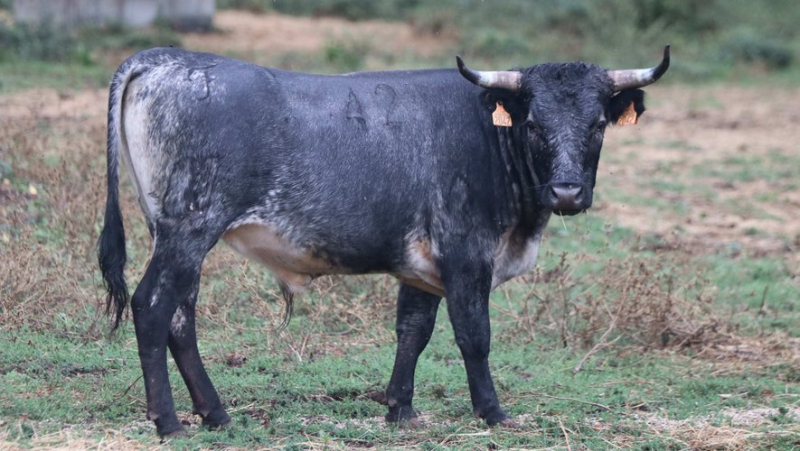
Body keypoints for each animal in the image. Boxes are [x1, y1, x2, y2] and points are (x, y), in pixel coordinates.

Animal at [98, 46, 668, 438]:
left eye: (598, 124)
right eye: (532, 122)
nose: (567, 191)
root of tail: (166, 58)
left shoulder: (422, 266)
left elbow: (413, 332)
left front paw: (401, 408)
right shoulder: (466, 255)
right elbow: (474, 336)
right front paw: (492, 412)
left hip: (175, 235)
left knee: (180, 316)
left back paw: (215, 413)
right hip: (190, 229)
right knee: (152, 307)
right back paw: (169, 421)